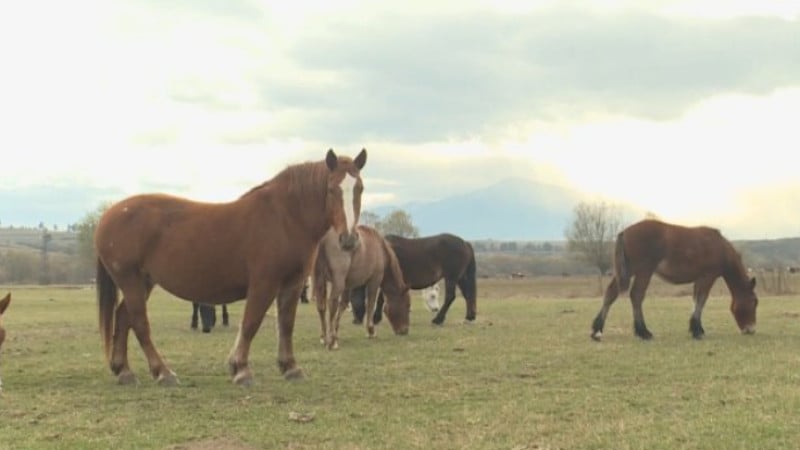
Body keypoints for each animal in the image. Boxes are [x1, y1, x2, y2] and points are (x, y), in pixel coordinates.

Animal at [95, 149, 368, 386]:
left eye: (360, 188)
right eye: (332, 189)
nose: (348, 239)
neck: (285, 217)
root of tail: (108, 215)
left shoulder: (293, 284)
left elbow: (286, 325)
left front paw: (290, 367)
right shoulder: (264, 283)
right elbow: (250, 323)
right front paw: (241, 369)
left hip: (144, 281)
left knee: (123, 317)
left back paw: (124, 371)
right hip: (131, 280)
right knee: (139, 323)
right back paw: (163, 372)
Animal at [592, 219, 760, 342]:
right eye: (754, 302)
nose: (751, 329)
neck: (720, 248)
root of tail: (625, 232)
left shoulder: (699, 279)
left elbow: (696, 301)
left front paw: (695, 328)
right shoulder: (707, 277)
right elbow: (701, 300)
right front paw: (697, 331)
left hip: (629, 271)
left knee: (611, 294)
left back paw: (597, 331)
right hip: (643, 271)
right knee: (636, 296)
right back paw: (643, 332)